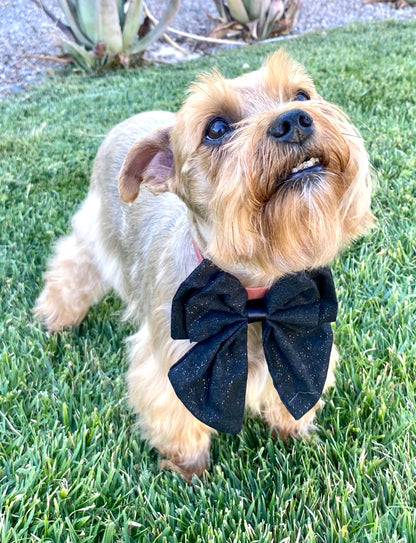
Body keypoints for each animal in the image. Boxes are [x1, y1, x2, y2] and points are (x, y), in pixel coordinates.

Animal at [35, 51, 374, 482]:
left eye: (301, 94)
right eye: (216, 128)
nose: (294, 119)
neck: (253, 294)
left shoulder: (304, 337)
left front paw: (295, 434)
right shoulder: (170, 365)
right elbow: (179, 422)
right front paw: (189, 471)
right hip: (94, 237)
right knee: (71, 265)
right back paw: (55, 317)